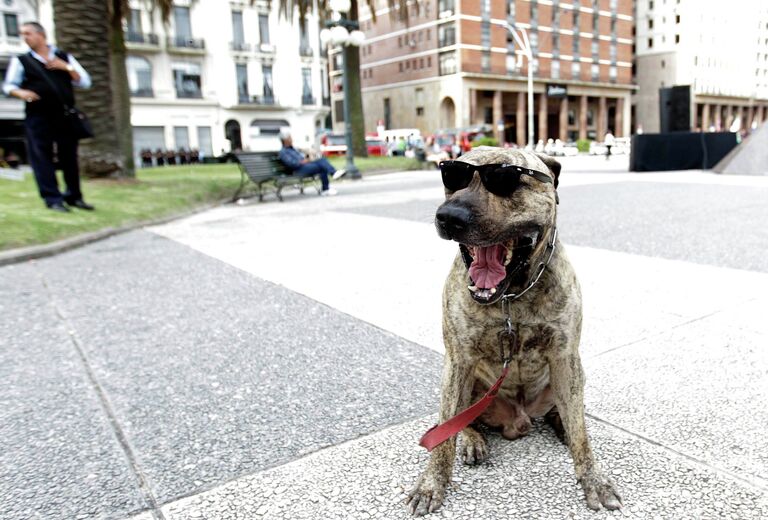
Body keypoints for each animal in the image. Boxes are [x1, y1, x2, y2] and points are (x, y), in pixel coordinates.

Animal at [404, 146, 620, 516]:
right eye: (452, 176)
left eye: (505, 179)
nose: (449, 216)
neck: (511, 296)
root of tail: (518, 419)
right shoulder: (458, 360)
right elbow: (443, 436)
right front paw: (432, 483)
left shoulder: (564, 356)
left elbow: (582, 434)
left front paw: (593, 478)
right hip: (467, 383)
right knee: (459, 421)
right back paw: (471, 440)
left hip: (571, 376)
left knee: (566, 410)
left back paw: (561, 423)